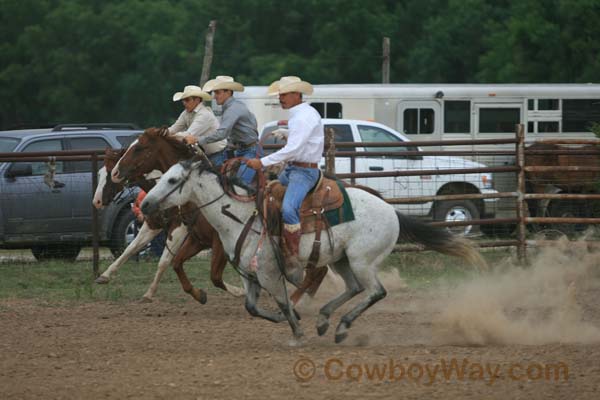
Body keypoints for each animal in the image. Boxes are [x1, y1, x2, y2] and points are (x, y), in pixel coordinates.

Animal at [139, 157, 482, 344]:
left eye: (172, 179)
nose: (145, 205)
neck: (239, 216)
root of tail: (392, 211)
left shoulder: (269, 274)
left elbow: (281, 300)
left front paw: (296, 332)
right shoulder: (251, 276)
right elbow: (252, 307)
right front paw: (287, 319)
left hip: (361, 260)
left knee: (376, 291)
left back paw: (341, 326)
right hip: (341, 260)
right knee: (354, 288)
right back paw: (324, 320)